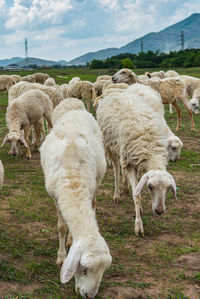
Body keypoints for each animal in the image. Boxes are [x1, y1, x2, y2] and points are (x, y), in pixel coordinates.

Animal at [39, 106, 111, 298]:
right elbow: (61, 227)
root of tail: (77, 109)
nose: (90, 295)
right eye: (84, 269)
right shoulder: (56, 197)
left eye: (104, 271)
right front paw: (61, 256)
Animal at [96, 85, 177, 237]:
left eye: (169, 188)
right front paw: (138, 226)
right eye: (150, 187)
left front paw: (140, 209)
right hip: (110, 144)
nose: (159, 211)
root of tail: (114, 92)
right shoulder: (128, 163)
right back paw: (117, 194)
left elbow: (138, 186)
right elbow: (137, 195)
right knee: (116, 167)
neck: (150, 146)